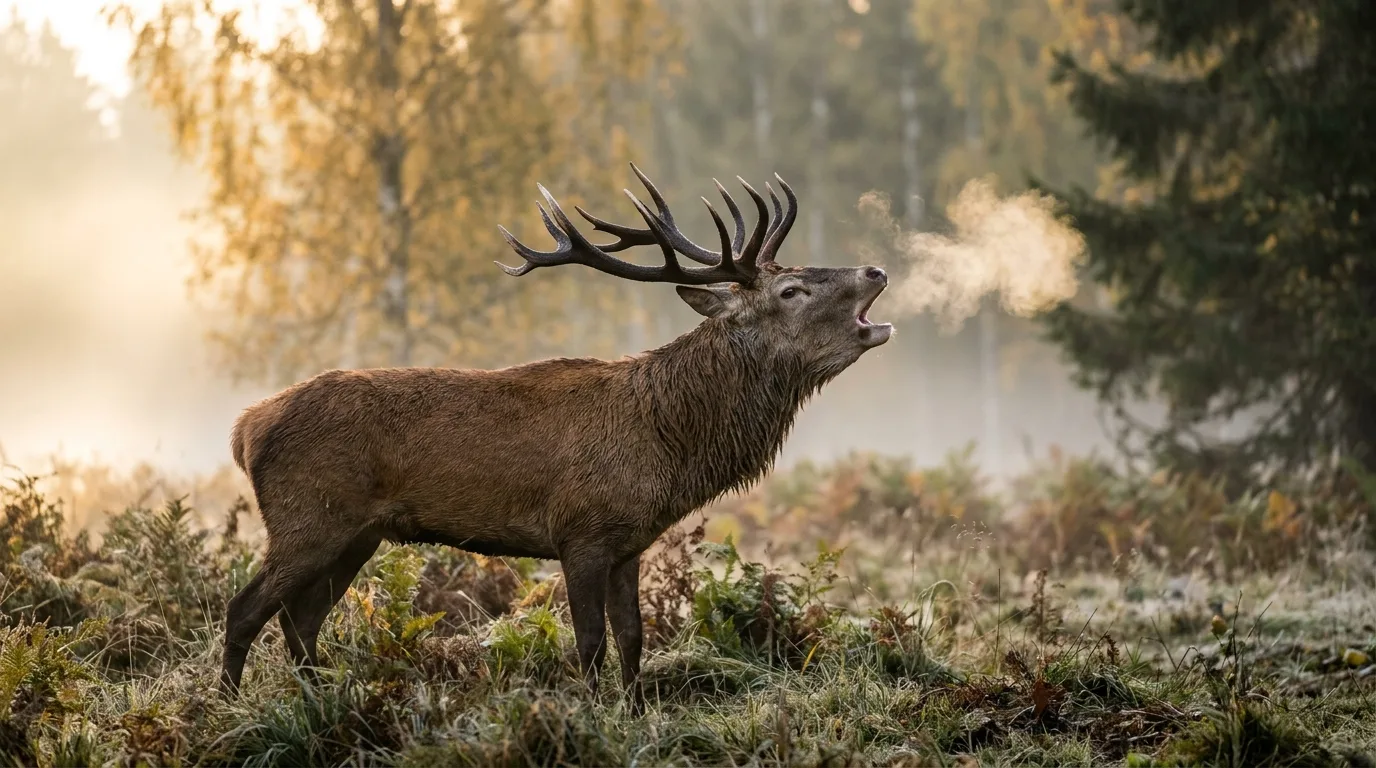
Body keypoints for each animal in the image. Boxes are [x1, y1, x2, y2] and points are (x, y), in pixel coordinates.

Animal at [220, 164, 892, 714]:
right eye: (791, 291)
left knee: (301, 622)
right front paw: (593, 716)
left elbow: (633, 637)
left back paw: (317, 702)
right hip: (308, 518)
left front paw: (636, 715)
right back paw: (230, 708)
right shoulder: (581, 531)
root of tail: (245, 427)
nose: (876, 269)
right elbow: (590, 641)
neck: (668, 446)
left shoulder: (628, 542)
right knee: (246, 608)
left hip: (357, 534)